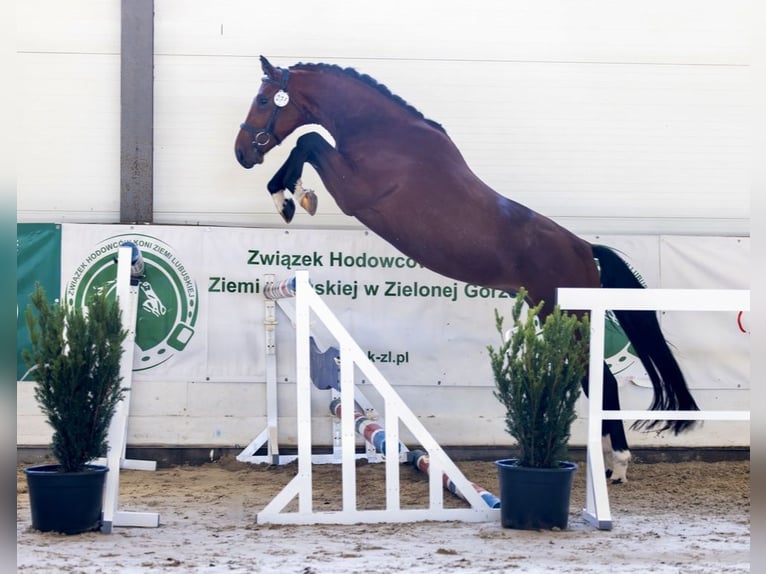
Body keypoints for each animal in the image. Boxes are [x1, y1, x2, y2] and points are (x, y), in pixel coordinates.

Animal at [234, 56, 700, 483]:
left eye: (263, 100)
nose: (242, 153)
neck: (382, 133)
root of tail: (586, 249)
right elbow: (310, 141)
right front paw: (293, 195)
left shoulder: (355, 191)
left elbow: (309, 141)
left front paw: (291, 198)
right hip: (556, 316)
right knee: (593, 380)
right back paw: (604, 463)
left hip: (567, 315)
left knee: (604, 381)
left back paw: (618, 465)